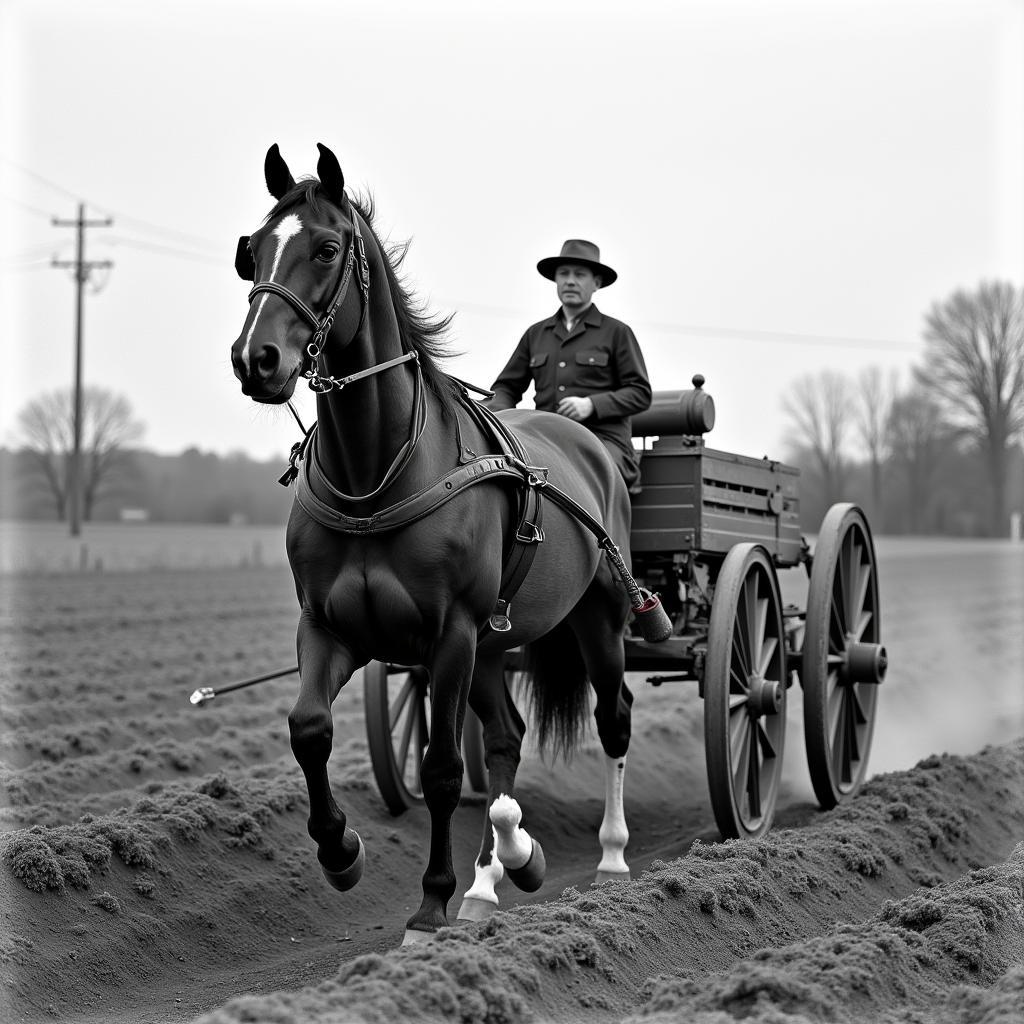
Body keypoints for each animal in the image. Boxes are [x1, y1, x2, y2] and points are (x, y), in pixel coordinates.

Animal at [233, 144, 638, 942]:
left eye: (325, 249)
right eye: (253, 249)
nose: (255, 358)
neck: (376, 476)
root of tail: (587, 441)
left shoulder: (451, 632)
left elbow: (445, 767)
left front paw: (430, 903)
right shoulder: (329, 627)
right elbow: (309, 729)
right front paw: (342, 851)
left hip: (597, 618)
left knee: (613, 719)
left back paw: (607, 858)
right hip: (493, 644)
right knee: (507, 737)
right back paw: (503, 867)